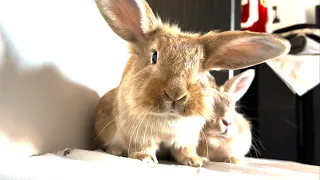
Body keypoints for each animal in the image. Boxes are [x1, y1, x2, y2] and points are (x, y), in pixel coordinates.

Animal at [92, 0, 290, 167]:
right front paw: (144, 158)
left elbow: (184, 150)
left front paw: (196, 161)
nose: (176, 93)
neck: (169, 117)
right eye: (154, 56)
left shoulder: (186, 138)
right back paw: (116, 150)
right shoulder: (138, 133)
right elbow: (143, 146)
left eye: (201, 70)